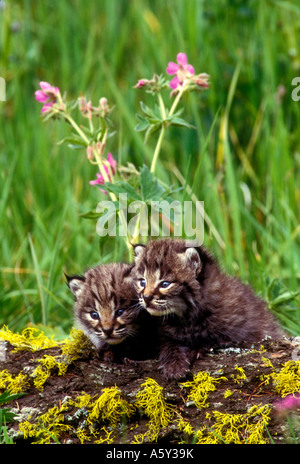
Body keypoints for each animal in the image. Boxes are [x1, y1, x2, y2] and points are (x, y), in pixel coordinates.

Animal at [132, 237, 282, 378]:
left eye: (165, 284)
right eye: (142, 282)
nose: (146, 297)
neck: (186, 317)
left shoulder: (242, 334)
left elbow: (216, 340)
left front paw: (193, 350)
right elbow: (167, 343)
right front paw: (174, 365)